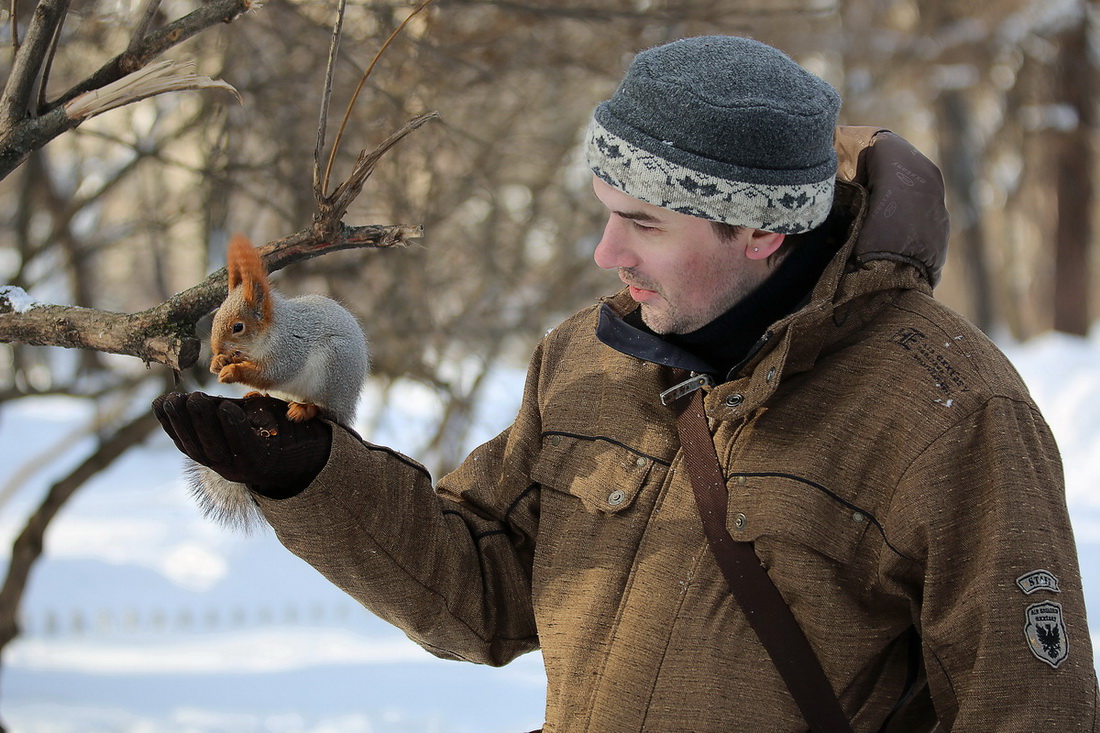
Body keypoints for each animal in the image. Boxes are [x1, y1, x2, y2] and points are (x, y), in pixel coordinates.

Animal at [189, 235, 374, 530]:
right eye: (215, 318)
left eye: (238, 327)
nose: (216, 348)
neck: (267, 337)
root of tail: (348, 406)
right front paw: (218, 362)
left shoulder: (289, 350)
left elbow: (274, 373)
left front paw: (231, 372)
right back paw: (259, 396)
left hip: (332, 374)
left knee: (327, 412)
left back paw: (305, 409)